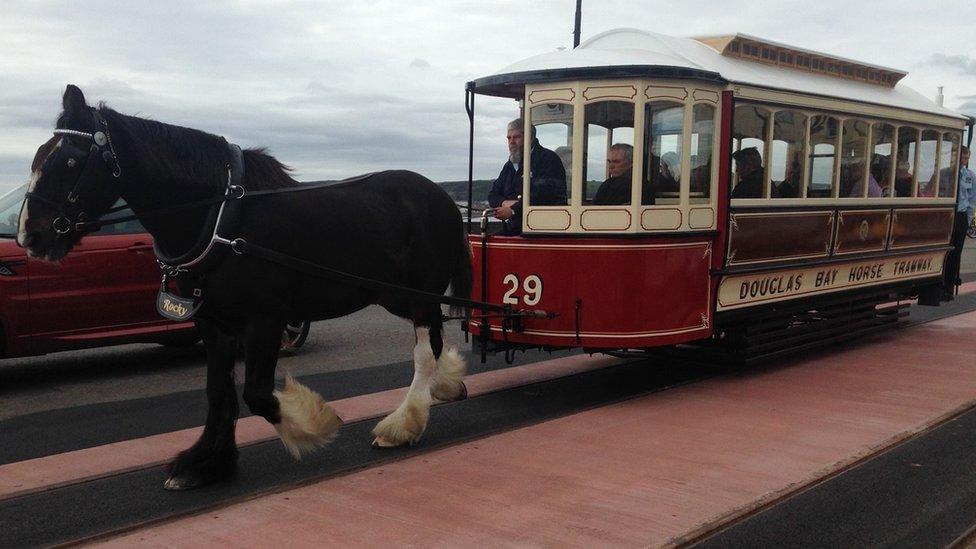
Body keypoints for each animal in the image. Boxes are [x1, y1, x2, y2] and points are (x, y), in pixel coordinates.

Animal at [17, 84, 470, 488]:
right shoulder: (212, 323)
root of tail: (445, 198)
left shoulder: (265, 321)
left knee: (423, 351)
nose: (29, 236)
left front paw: (314, 425)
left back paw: (403, 423)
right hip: (396, 296)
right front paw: (206, 463)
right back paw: (443, 385)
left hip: (418, 295)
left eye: (70, 161)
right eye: (38, 157)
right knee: (434, 339)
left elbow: (256, 394)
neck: (222, 218)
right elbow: (218, 391)